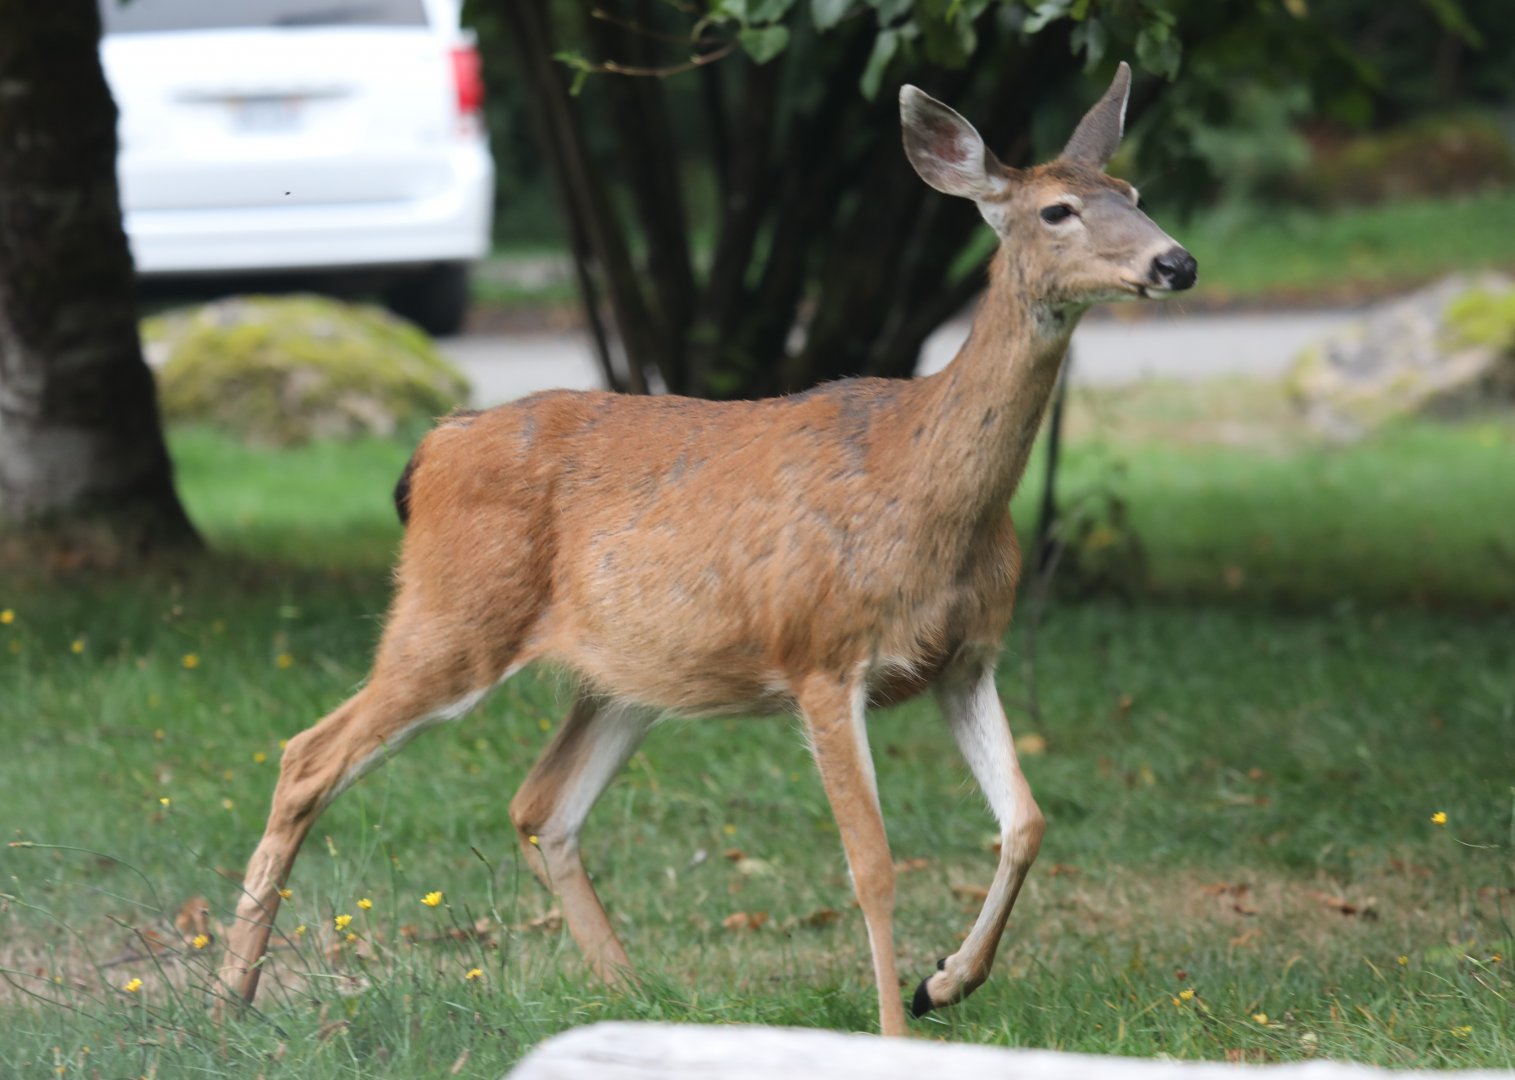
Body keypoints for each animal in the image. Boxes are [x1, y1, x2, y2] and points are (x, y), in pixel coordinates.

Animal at [218, 62, 1195, 1037]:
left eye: (1135, 194)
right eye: (1057, 210)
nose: (1174, 262)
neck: (926, 494)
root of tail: (434, 445)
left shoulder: (965, 658)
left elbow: (1025, 822)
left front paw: (945, 980)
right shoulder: (821, 654)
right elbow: (872, 867)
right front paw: (893, 1026)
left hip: (626, 674)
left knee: (541, 806)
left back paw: (634, 998)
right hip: (451, 614)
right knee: (308, 757)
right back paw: (230, 996)